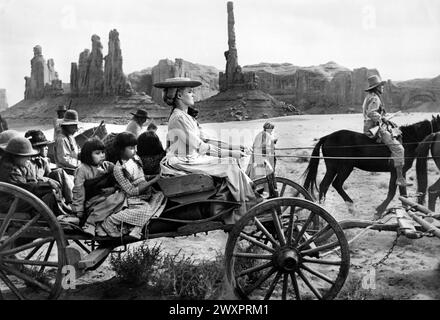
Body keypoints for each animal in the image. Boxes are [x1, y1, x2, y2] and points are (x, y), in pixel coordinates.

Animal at [302, 115, 440, 218]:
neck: (408, 139)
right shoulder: (394, 171)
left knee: (324, 185)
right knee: (336, 184)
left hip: (333, 168)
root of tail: (327, 137)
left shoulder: (402, 172)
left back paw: (324, 208)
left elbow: (403, 193)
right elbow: (391, 192)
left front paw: (407, 209)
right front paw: (379, 211)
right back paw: (350, 208)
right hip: (345, 168)